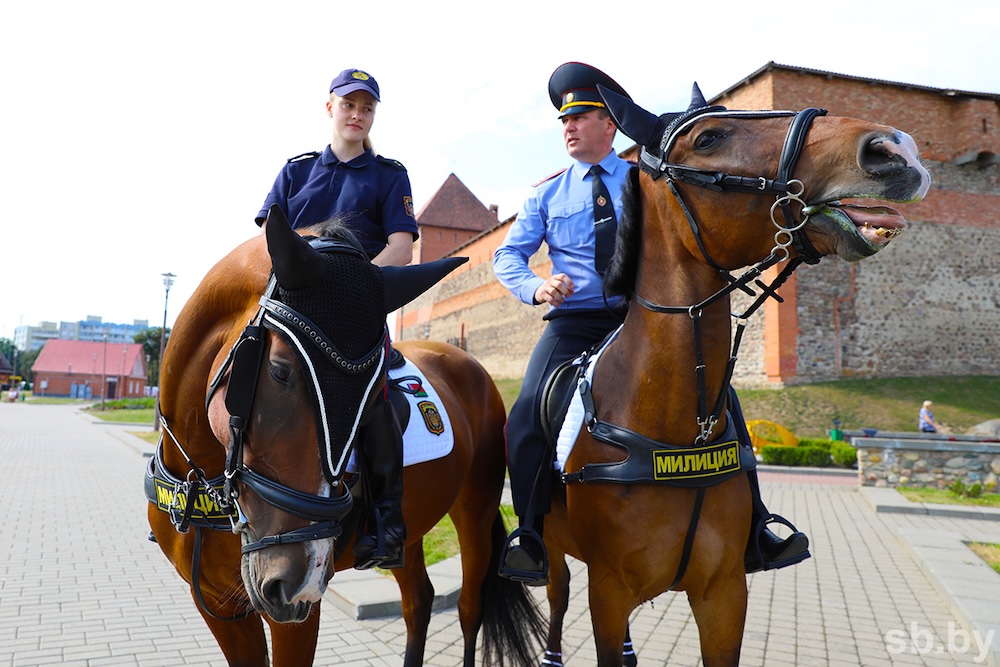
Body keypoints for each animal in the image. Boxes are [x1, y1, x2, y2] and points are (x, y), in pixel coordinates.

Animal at [145, 206, 544, 664]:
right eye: (279, 371)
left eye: (374, 393)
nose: (297, 579)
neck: (199, 482)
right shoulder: (217, 607)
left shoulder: (299, 615)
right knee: (419, 603)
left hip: (475, 509)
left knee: (469, 608)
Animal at [536, 86, 932, 664]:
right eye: (708, 139)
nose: (895, 147)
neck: (676, 425)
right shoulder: (606, 592)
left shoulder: (723, 593)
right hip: (556, 553)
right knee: (557, 592)